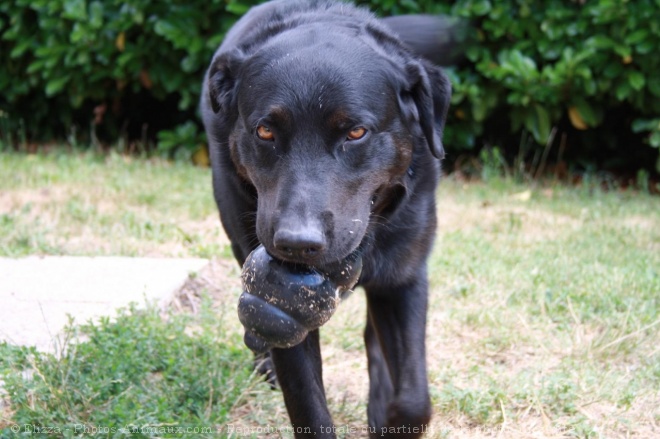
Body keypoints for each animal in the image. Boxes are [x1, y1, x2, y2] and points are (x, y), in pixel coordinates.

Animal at [201, 1, 456, 438]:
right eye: (265, 131)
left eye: (355, 132)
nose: (297, 243)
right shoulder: (284, 309)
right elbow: (309, 407)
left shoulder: (404, 277)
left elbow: (414, 400)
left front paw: (390, 417)